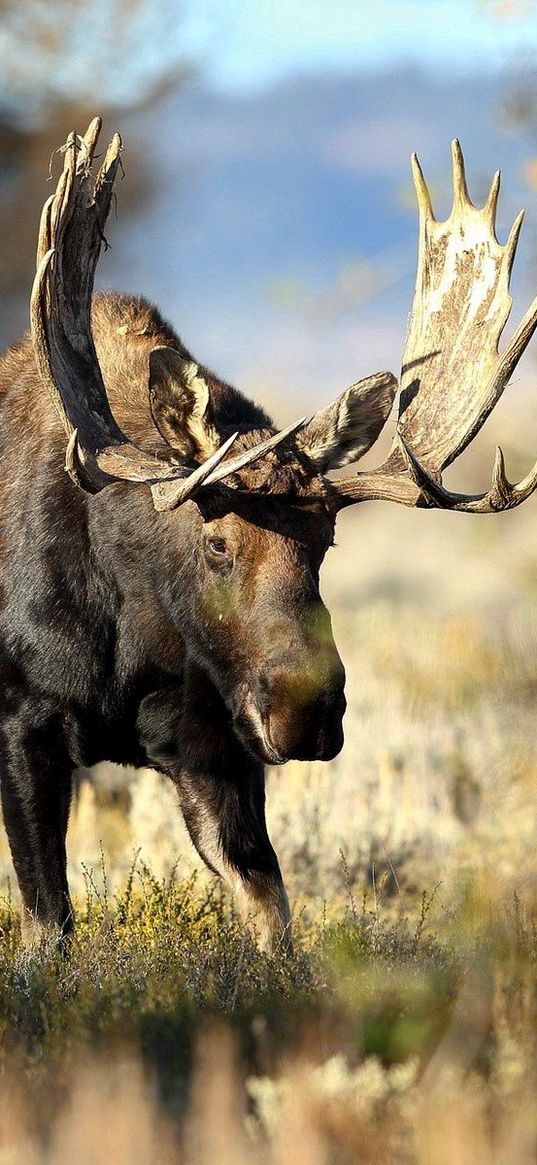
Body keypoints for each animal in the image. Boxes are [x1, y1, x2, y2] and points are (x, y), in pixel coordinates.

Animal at [1, 120, 535, 955]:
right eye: (215, 542)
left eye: (325, 544)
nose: (306, 706)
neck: (128, 640)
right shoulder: (25, 723)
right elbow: (45, 925)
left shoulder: (213, 744)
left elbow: (272, 917)